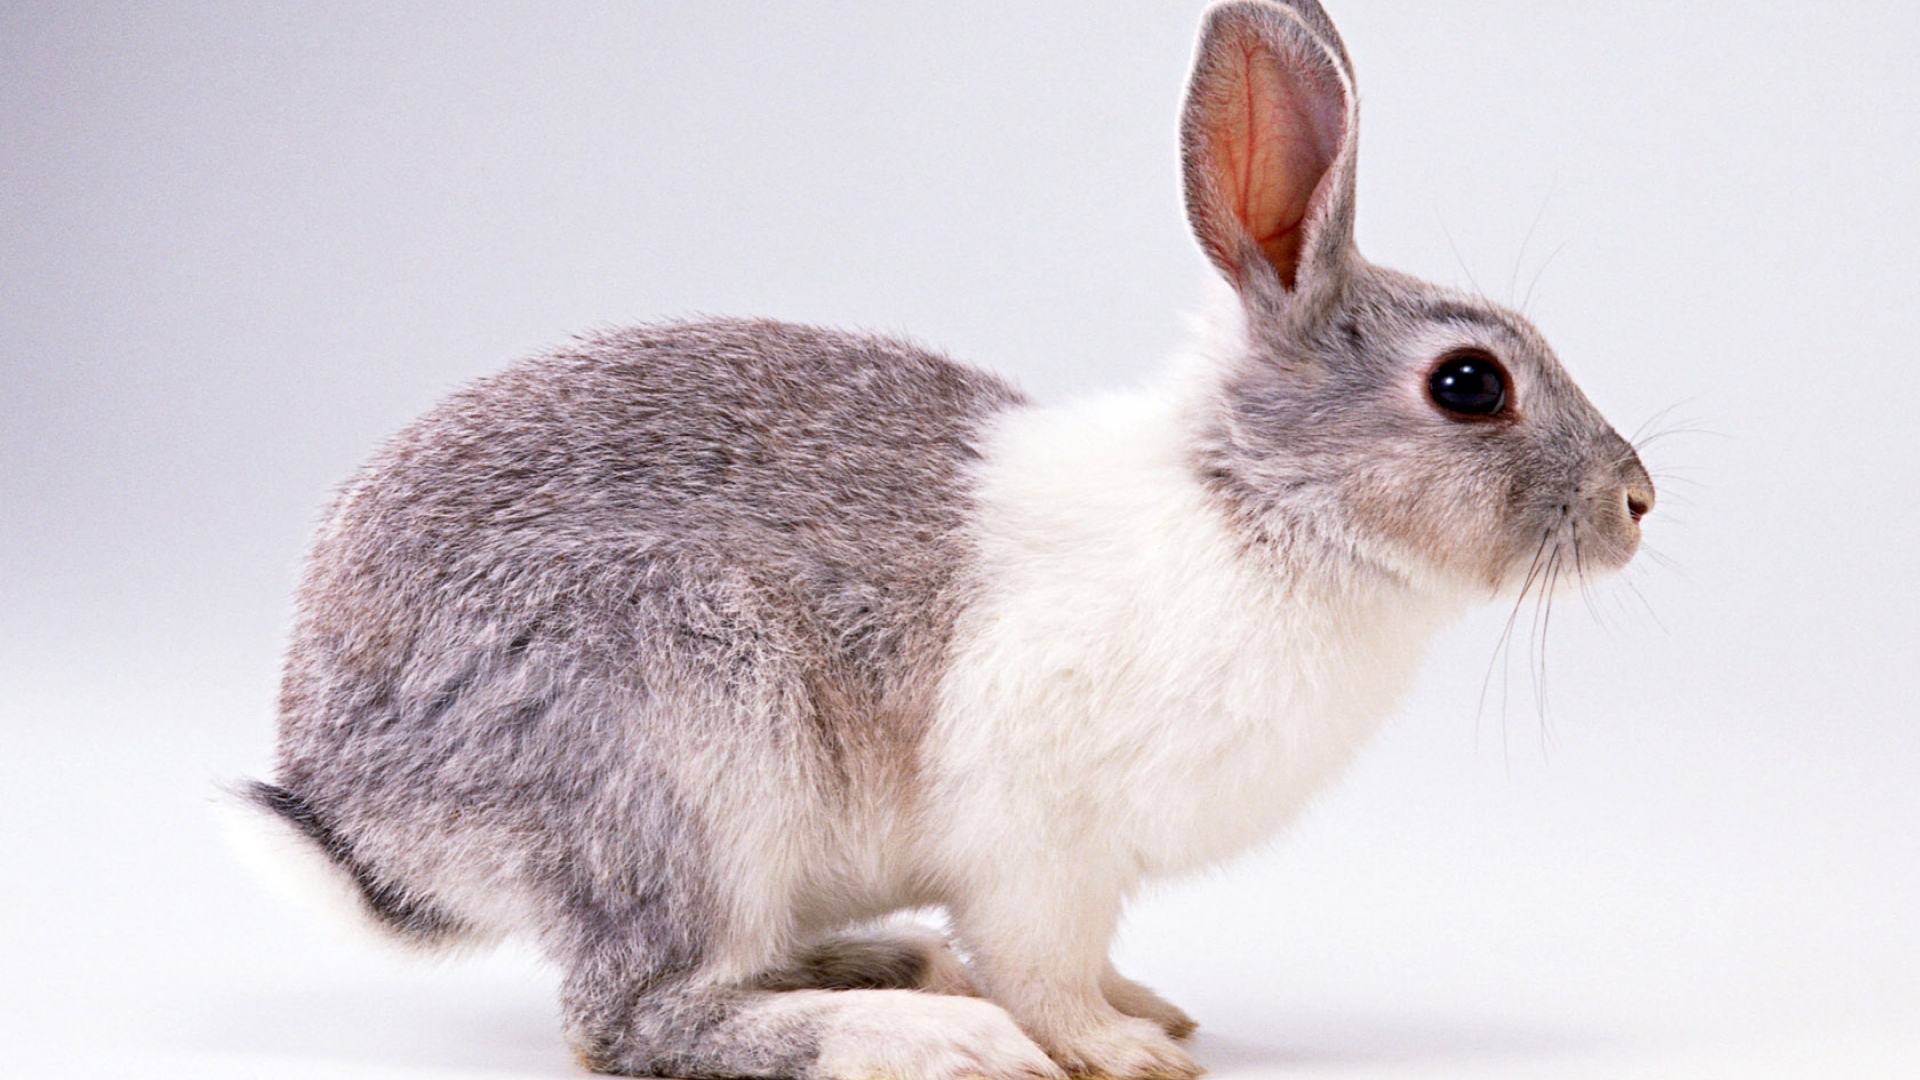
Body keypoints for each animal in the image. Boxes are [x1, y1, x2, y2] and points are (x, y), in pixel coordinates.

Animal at [236, 1, 1655, 1078]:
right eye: (1469, 385)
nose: (1638, 503)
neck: (1259, 500)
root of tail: (358, 808)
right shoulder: (1038, 845)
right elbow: (1044, 964)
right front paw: (1122, 1049)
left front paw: (1149, 1008)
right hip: (684, 741)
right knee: (637, 1016)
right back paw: (925, 1037)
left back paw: (908, 969)